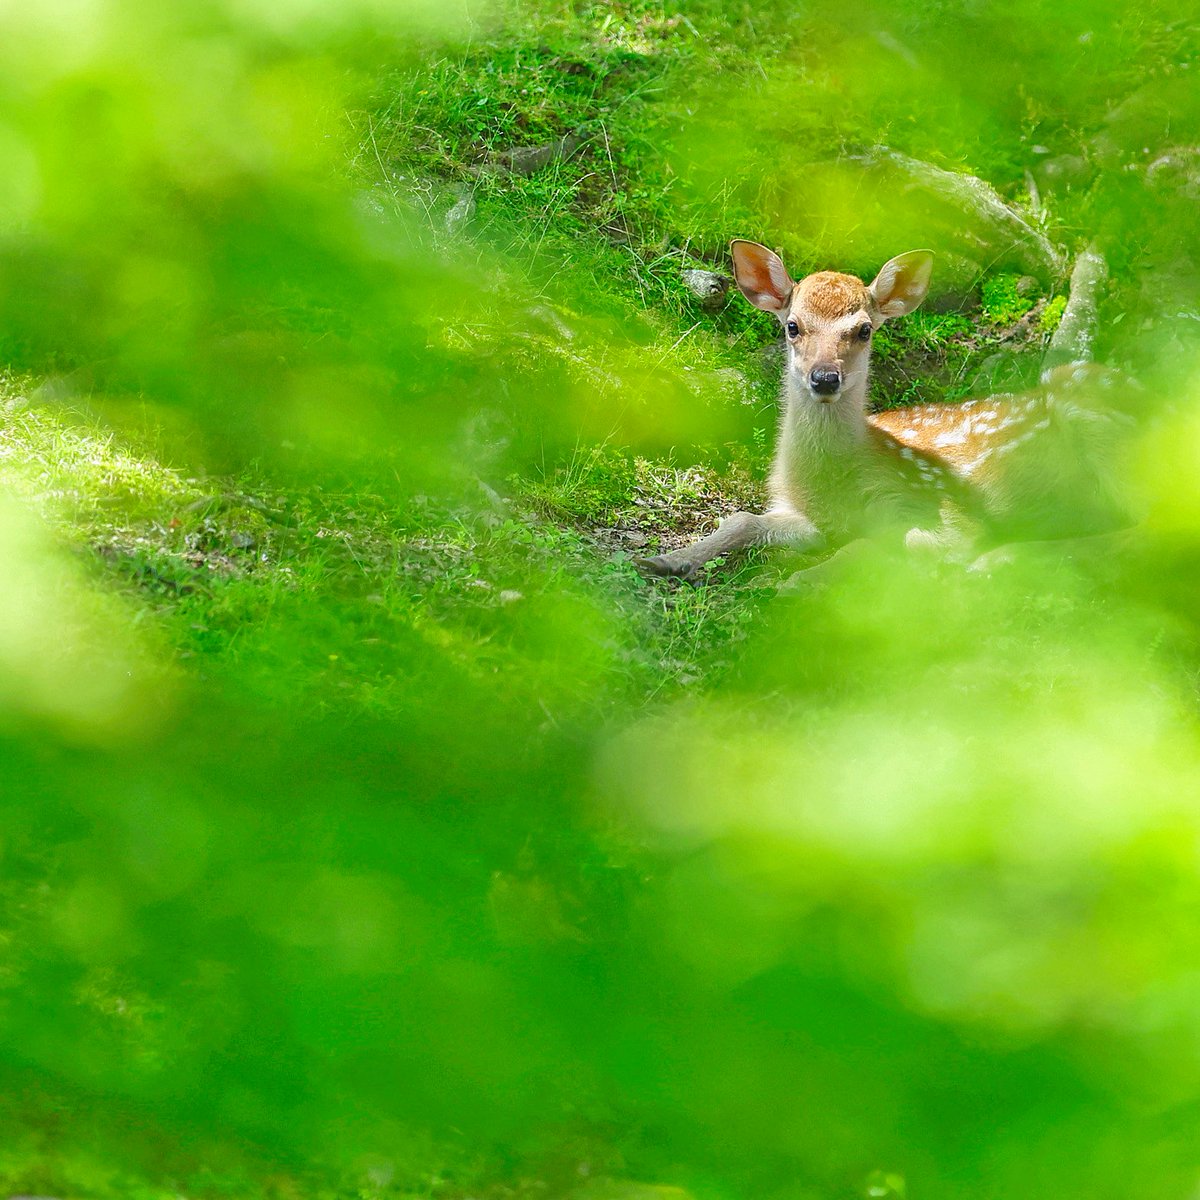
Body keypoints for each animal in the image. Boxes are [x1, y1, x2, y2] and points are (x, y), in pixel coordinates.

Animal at [639, 240, 1132, 580]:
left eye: (863, 330)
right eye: (792, 326)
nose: (824, 378)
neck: (838, 481)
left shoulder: (937, 505)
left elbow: (908, 541)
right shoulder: (805, 513)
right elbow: (741, 519)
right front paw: (664, 559)